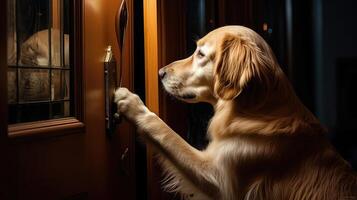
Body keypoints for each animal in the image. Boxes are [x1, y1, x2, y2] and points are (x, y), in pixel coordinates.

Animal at [114, 25, 356, 199]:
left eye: (200, 54)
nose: (160, 73)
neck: (255, 111)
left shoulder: (218, 179)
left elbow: (167, 134)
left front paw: (133, 104)